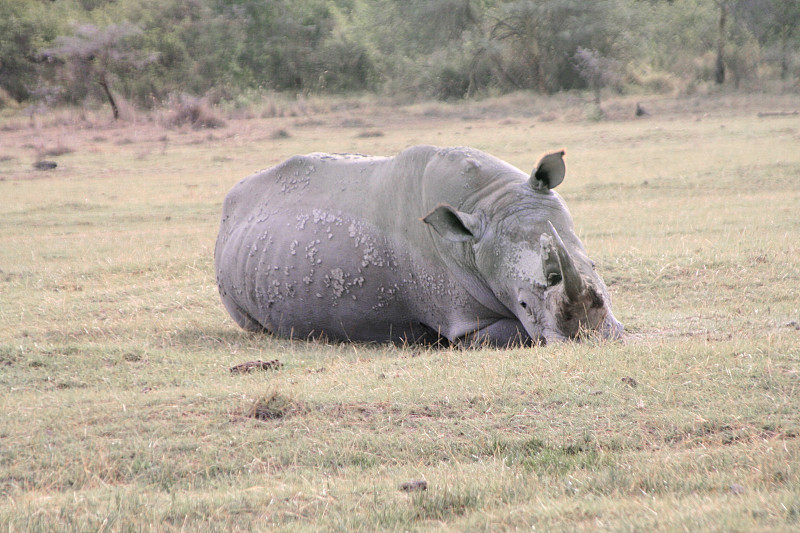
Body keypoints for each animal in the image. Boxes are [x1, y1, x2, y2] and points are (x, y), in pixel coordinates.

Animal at [214, 145, 624, 344]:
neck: (487, 202)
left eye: (595, 268)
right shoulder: (466, 321)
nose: (594, 337)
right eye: (523, 303)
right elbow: (516, 335)